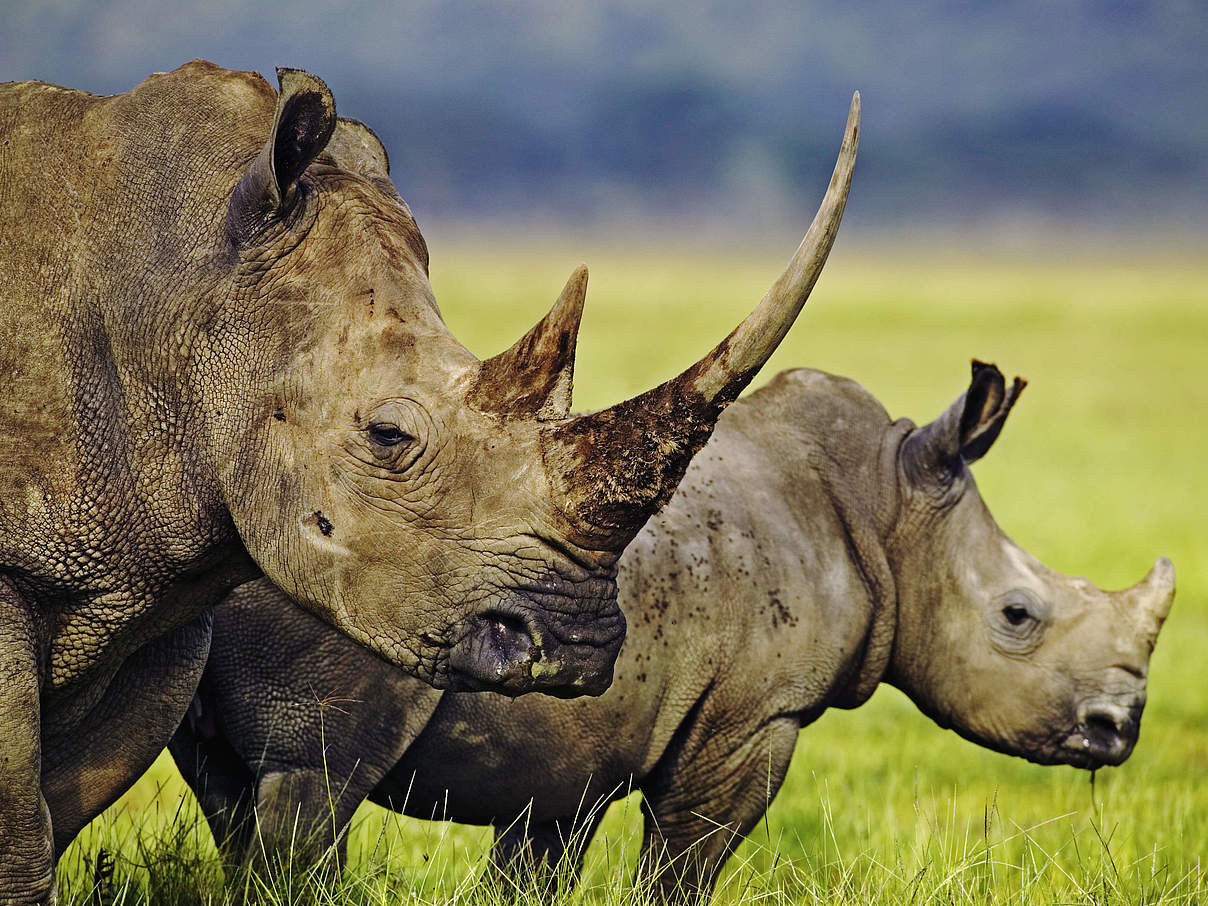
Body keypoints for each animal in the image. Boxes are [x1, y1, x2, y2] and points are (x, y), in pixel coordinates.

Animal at [0, 62, 860, 903]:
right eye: (388, 436)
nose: (575, 648)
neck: (178, 290)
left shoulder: (155, 573)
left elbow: (62, 801)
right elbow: (22, 819)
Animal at [175, 362, 1174, 903]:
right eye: (1017, 616)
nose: (1117, 729)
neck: (890, 505)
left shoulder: (573, 751)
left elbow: (535, 866)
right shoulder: (755, 715)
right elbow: (685, 867)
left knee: (230, 790)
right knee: (313, 781)